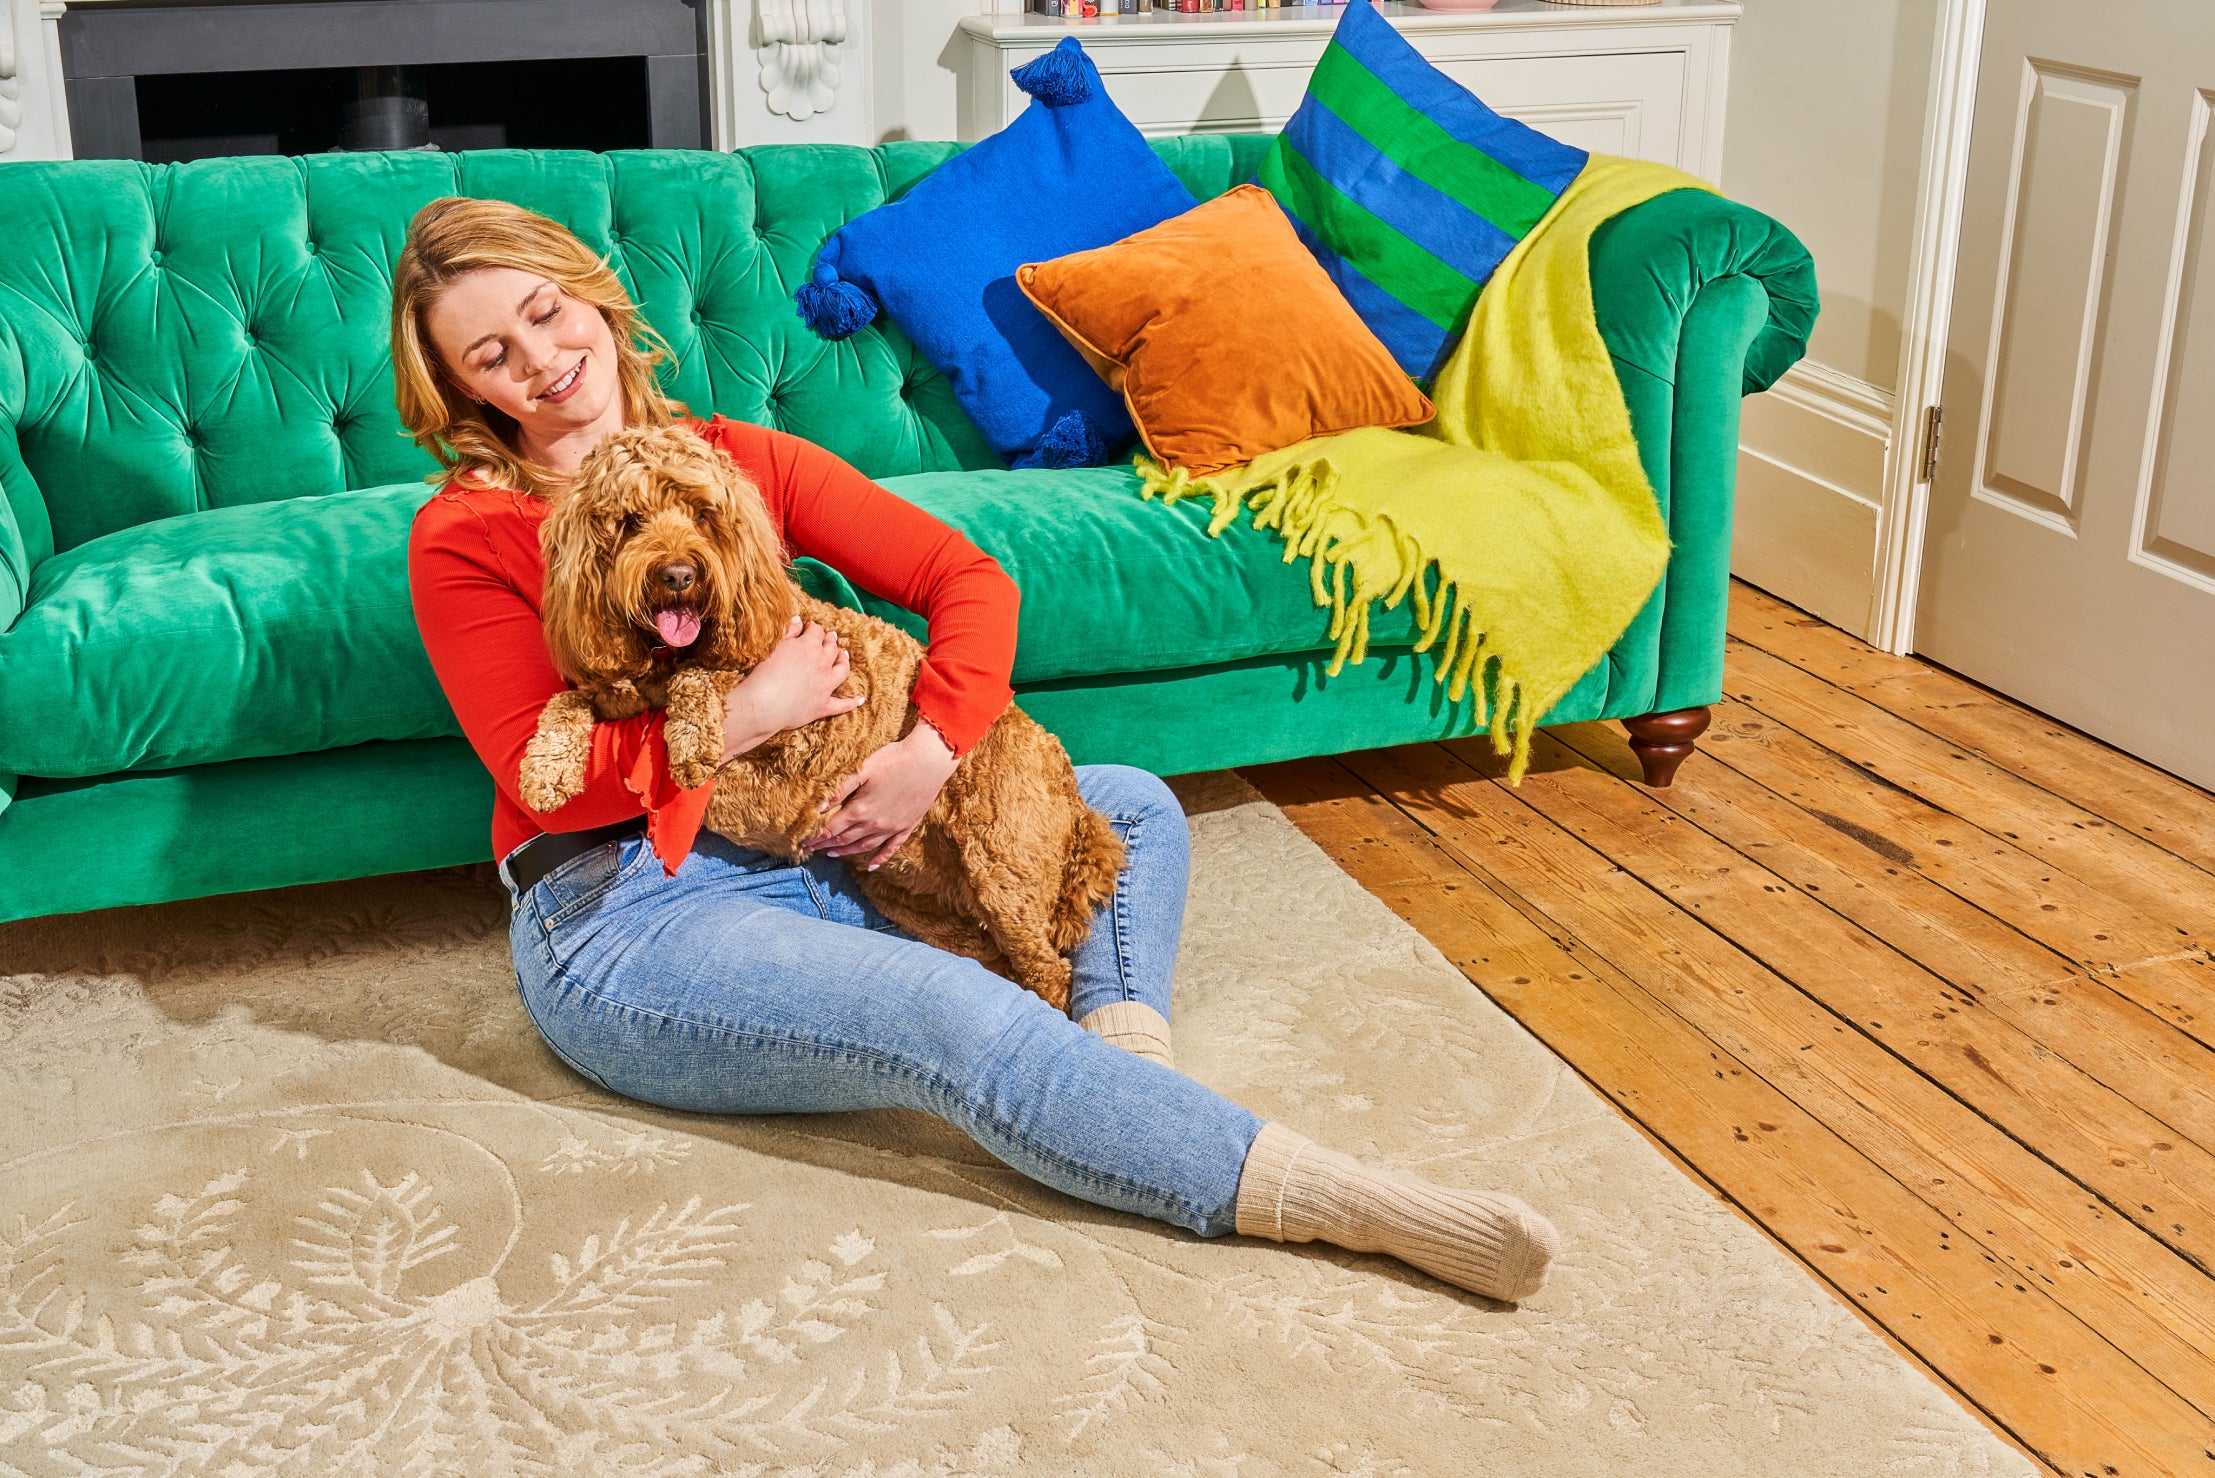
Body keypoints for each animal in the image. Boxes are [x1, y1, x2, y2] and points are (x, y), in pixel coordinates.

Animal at [516, 421, 1125, 1010]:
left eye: (703, 516)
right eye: (629, 522)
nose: (679, 574)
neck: (663, 658)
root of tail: (1075, 803)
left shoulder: (792, 747)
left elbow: (702, 687)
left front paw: (688, 742)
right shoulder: (610, 686)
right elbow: (566, 702)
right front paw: (545, 770)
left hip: (1002, 865)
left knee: (1051, 972)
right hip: (912, 895)